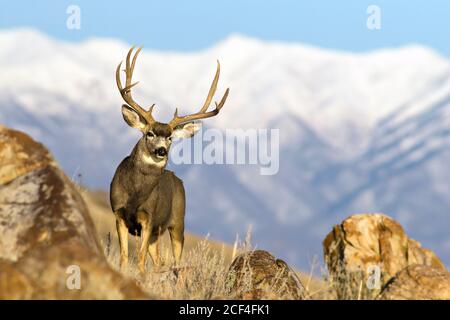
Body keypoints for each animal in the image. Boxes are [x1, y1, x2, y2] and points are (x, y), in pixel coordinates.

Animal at [108, 46, 229, 274]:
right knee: (159, 262)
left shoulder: (149, 217)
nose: (161, 151)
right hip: (158, 233)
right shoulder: (119, 213)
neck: (135, 193)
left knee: (176, 264)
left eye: (171, 137)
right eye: (150, 133)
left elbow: (139, 259)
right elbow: (124, 257)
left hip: (177, 222)